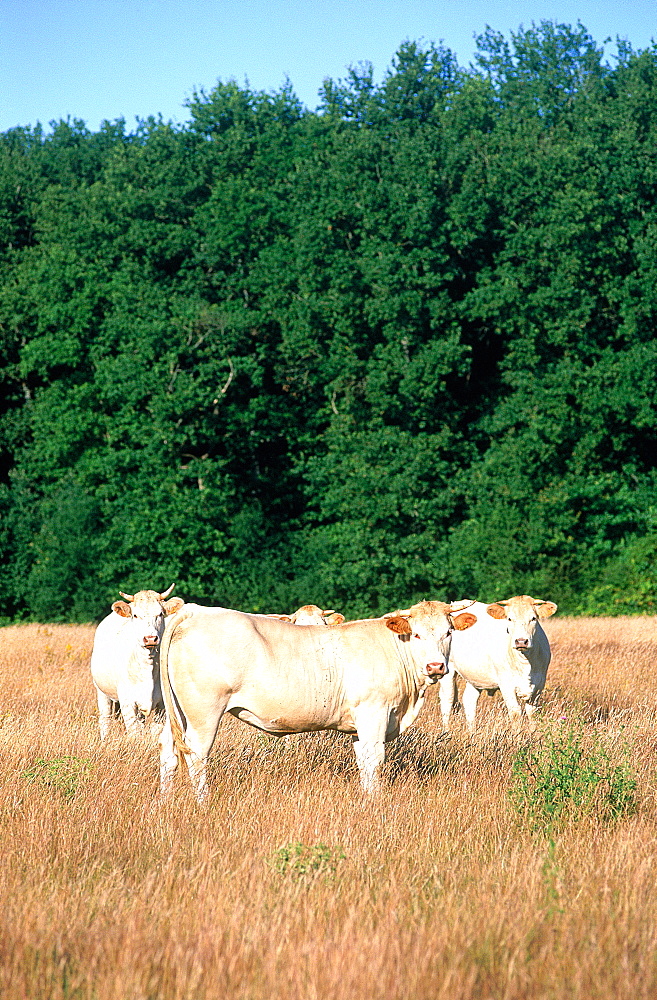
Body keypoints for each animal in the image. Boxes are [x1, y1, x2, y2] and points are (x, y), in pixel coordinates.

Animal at [88, 584, 186, 744]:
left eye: (160, 614)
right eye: (135, 615)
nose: (150, 638)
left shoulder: (162, 704)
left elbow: (155, 732)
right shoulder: (127, 702)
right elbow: (134, 732)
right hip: (101, 692)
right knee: (105, 719)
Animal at [159, 596, 476, 800]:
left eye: (448, 632)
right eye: (417, 634)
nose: (435, 666)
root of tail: (195, 611)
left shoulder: (360, 725)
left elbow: (363, 762)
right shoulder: (374, 713)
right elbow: (374, 759)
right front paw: (375, 803)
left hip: (177, 711)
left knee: (168, 751)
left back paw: (165, 801)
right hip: (204, 712)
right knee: (197, 754)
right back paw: (202, 801)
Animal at [438, 588, 556, 732]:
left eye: (533, 618)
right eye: (509, 618)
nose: (521, 641)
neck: (526, 662)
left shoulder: (539, 683)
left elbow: (532, 713)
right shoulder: (506, 683)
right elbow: (515, 712)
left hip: (475, 675)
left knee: (469, 700)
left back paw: (472, 732)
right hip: (447, 670)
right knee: (447, 700)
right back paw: (446, 731)